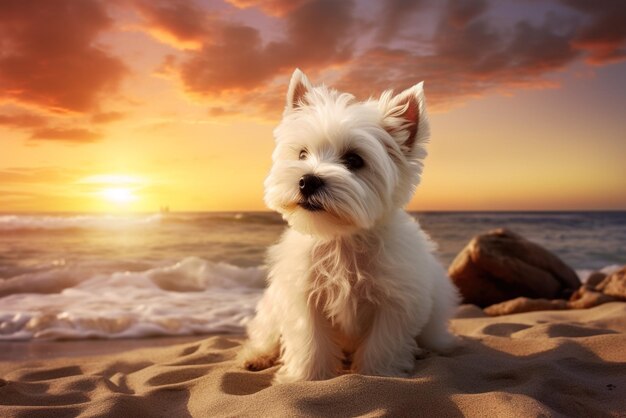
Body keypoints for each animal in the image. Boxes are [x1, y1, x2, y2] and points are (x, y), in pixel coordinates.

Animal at [239, 69, 458, 386]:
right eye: (302, 153)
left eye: (354, 160)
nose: (307, 180)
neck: (340, 237)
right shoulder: (304, 296)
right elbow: (310, 340)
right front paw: (308, 377)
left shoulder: (396, 301)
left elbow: (382, 343)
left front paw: (377, 374)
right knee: (266, 335)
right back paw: (256, 357)